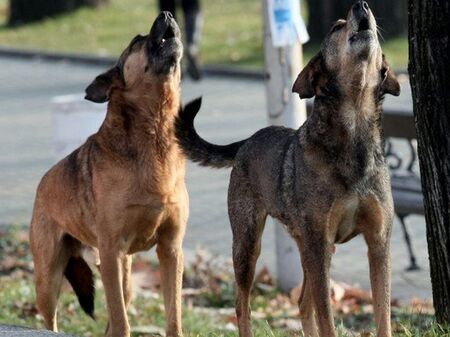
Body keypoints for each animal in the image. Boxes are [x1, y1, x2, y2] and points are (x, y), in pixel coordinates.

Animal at [29, 11, 187, 334]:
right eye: (137, 41)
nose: (166, 13)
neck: (155, 135)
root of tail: (42, 183)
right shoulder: (111, 252)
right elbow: (121, 322)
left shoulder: (171, 250)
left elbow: (173, 316)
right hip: (48, 278)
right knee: (53, 320)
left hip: (124, 278)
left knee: (114, 317)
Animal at [176, 1, 400, 334]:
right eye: (336, 27)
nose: (362, 6)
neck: (353, 138)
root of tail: (247, 141)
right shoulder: (320, 245)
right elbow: (327, 319)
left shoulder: (378, 242)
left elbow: (382, 314)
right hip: (248, 244)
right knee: (243, 305)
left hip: (308, 247)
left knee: (302, 304)